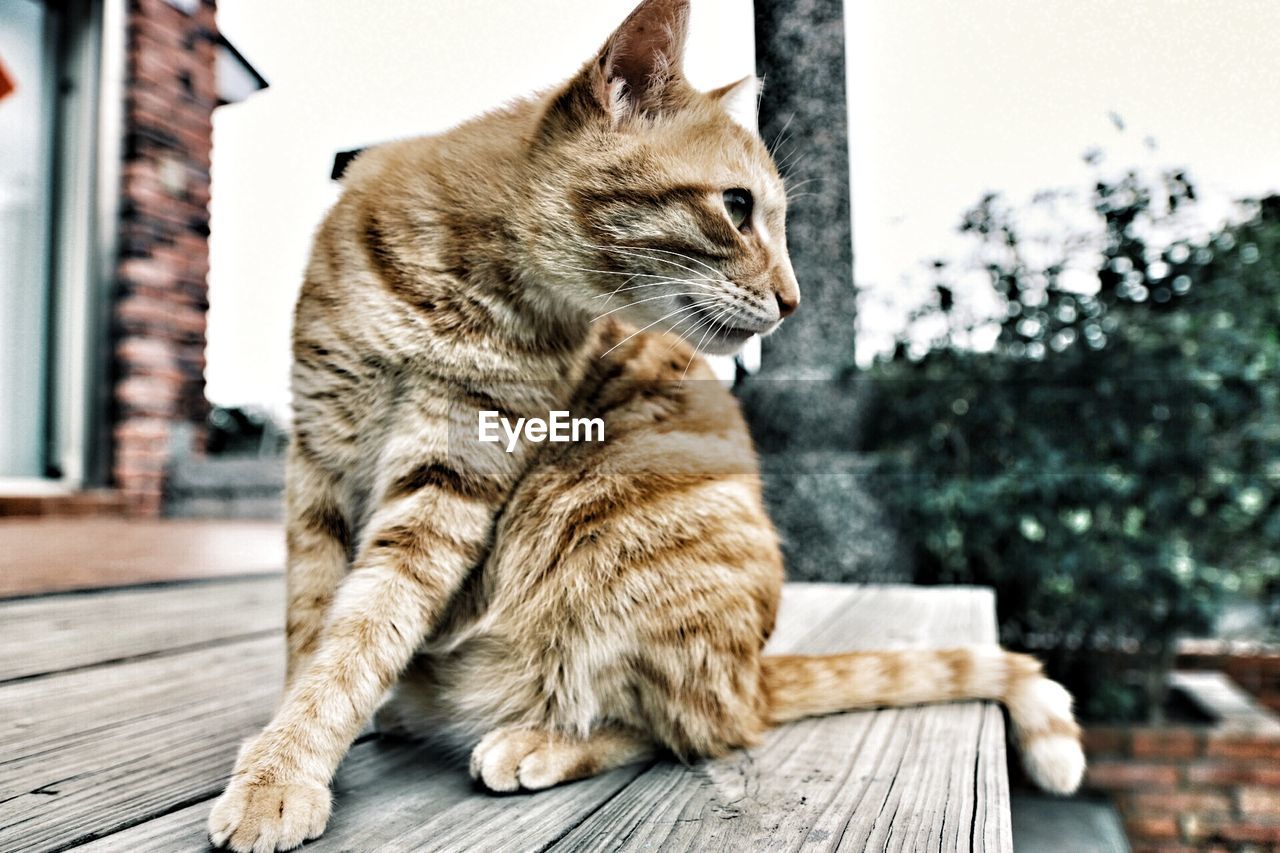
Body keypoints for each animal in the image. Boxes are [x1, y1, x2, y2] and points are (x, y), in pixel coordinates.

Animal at [207, 3, 1080, 845]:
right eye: (737, 207)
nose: (795, 300)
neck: (455, 277)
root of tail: (755, 672)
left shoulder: (449, 475)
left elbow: (365, 626)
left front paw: (285, 768)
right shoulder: (318, 453)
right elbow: (315, 625)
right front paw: (292, 747)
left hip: (613, 535)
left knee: (696, 727)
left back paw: (537, 740)